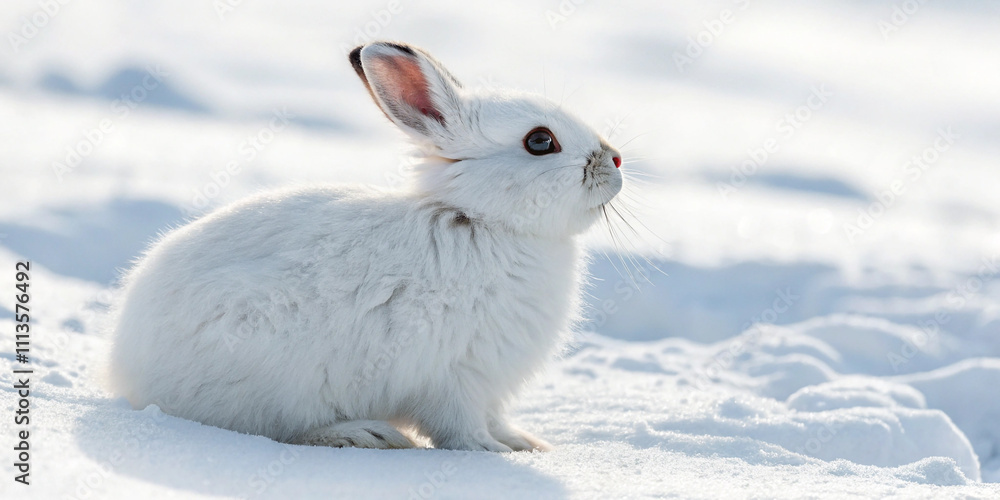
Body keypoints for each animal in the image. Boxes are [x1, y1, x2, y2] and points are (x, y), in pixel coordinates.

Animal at [107, 41, 623, 452]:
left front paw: (525, 444)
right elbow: (459, 426)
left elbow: (495, 418)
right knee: (278, 428)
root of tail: (126, 371)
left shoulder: (489, 383)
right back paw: (363, 434)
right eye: (540, 141)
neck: (481, 219)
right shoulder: (454, 375)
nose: (615, 160)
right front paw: (490, 452)